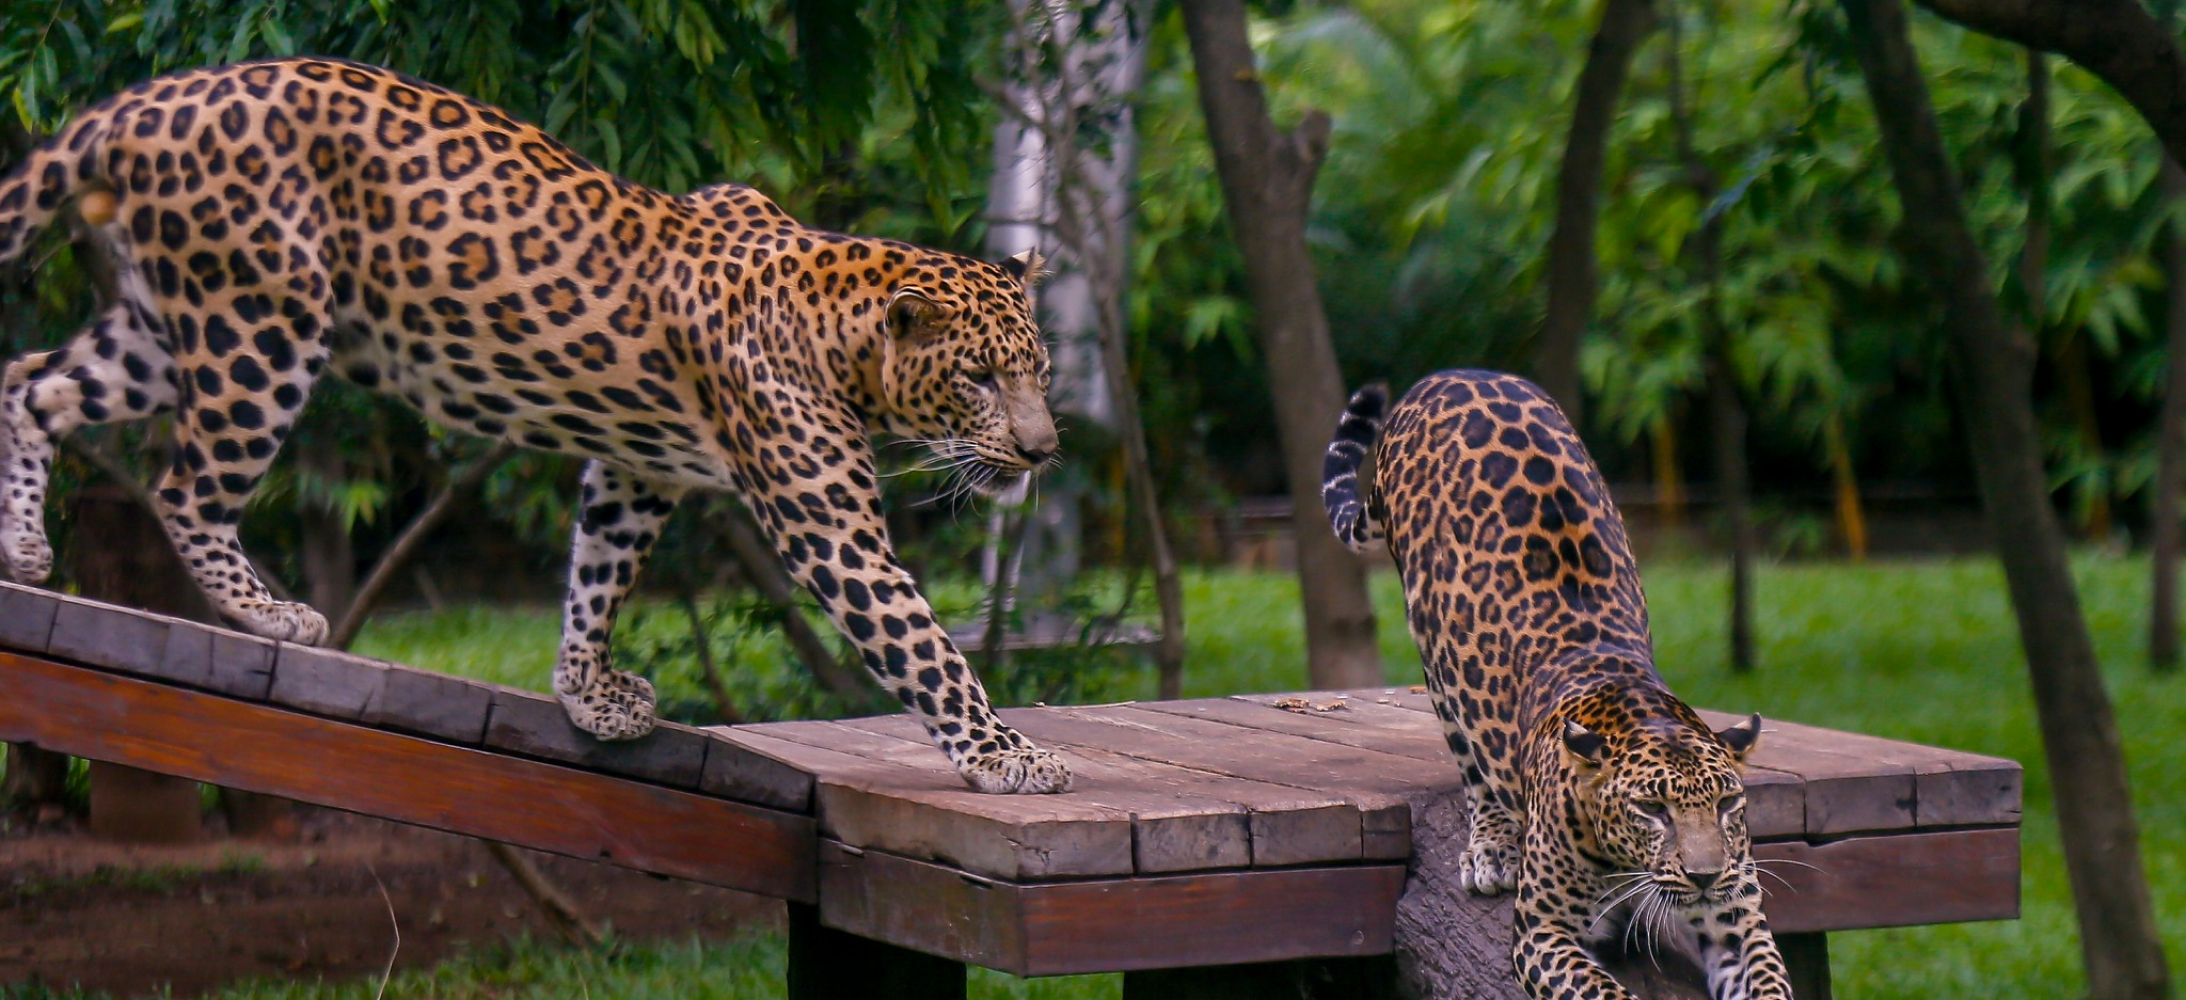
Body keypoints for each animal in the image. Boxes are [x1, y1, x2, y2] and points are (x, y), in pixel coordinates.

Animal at [0, 54, 1071, 792]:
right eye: (979, 378)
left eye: (1042, 374)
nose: (1042, 450)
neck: (840, 331)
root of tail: (151, 97)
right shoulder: (830, 531)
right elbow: (924, 645)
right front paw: (1010, 757)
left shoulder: (638, 472)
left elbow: (598, 573)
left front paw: (587, 691)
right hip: (263, 321)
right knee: (185, 484)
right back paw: (270, 613)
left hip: (163, 323)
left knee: (33, 382)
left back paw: (22, 549)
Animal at [1320, 367, 1783, 997]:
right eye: (1652, 809)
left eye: (1729, 802)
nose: (1707, 875)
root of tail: (1446, 376)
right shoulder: (1543, 931)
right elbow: (1604, 991)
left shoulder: (1738, 918)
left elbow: (1769, 978)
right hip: (1435, 652)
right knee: (1469, 758)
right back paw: (1491, 848)